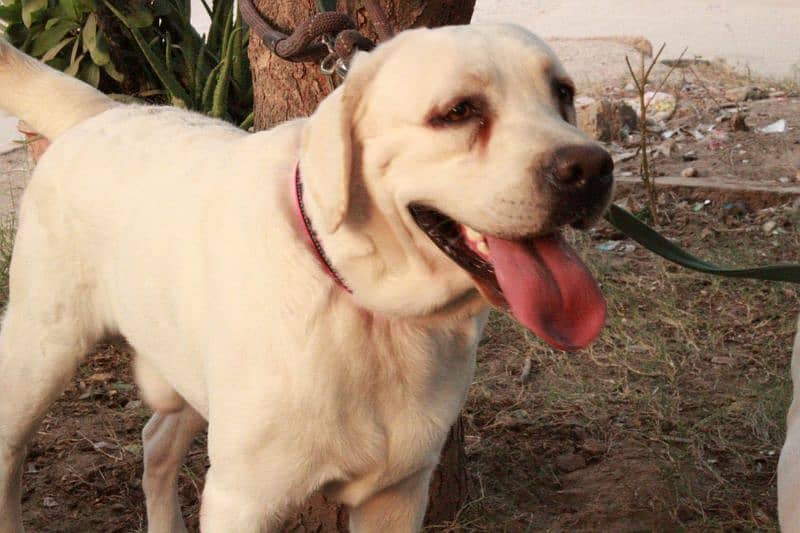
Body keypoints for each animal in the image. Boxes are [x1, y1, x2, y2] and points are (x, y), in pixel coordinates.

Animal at [0, 26, 612, 532]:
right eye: (459, 111)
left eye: (563, 93)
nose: (590, 169)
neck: (370, 309)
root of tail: (103, 111)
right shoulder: (242, 501)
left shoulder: (396, 496)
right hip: (40, 351)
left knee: (155, 444)